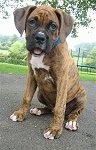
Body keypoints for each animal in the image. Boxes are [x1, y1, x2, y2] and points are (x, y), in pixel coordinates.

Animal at [10, 5, 86, 140]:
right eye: (32, 22)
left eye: (53, 26)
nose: (40, 38)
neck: (43, 54)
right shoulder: (32, 75)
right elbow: (26, 97)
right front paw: (20, 113)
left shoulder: (62, 80)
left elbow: (60, 107)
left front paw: (54, 129)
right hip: (40, 92)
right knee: (51, 108)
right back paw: (39, 110)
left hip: (82, 94)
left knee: (73, 112)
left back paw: (71, 122)